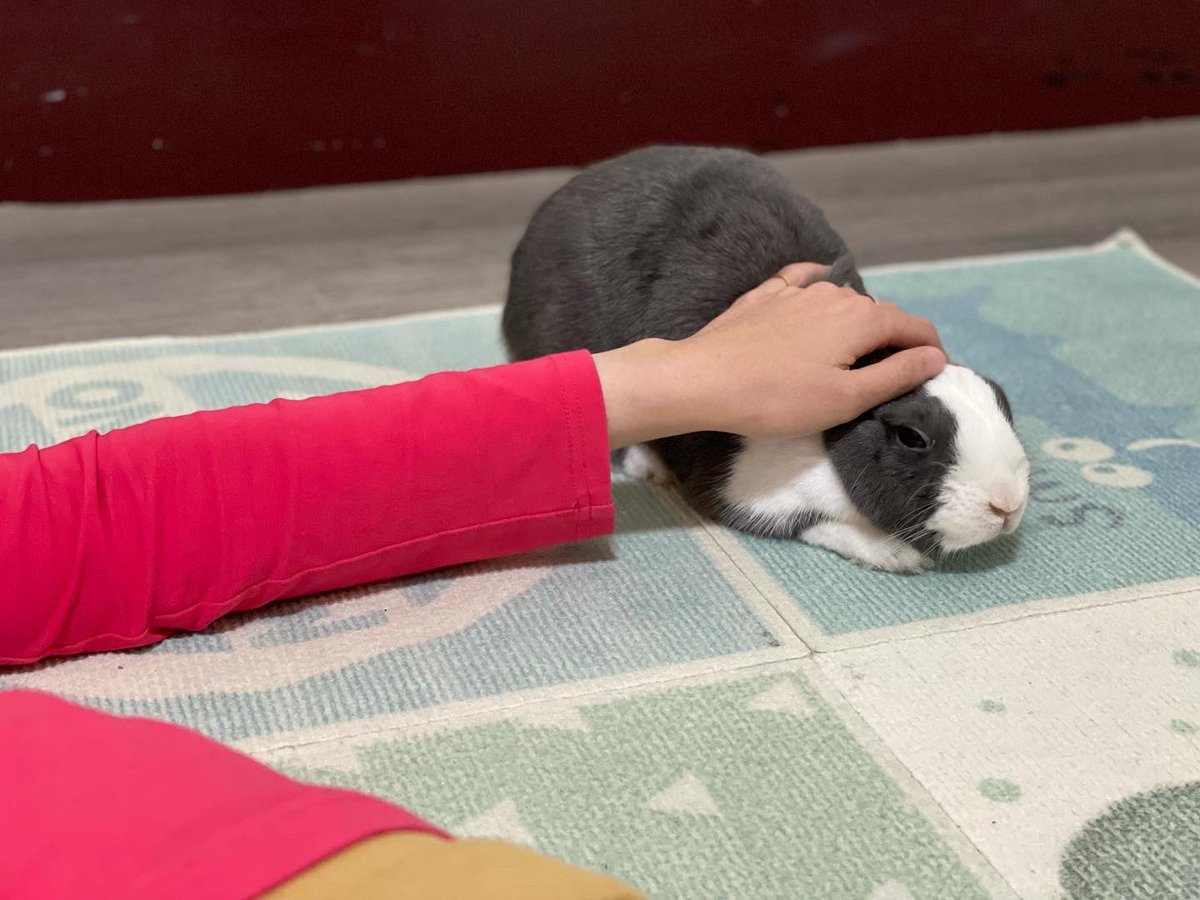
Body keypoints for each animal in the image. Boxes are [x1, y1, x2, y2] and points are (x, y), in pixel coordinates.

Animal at [502, 145, 1029, 572]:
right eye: (911, 437)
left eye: (1001, 400)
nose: (1006, 506)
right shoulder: (746, 488)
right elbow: (809, 522)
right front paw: (896, 555)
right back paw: (650, 466)